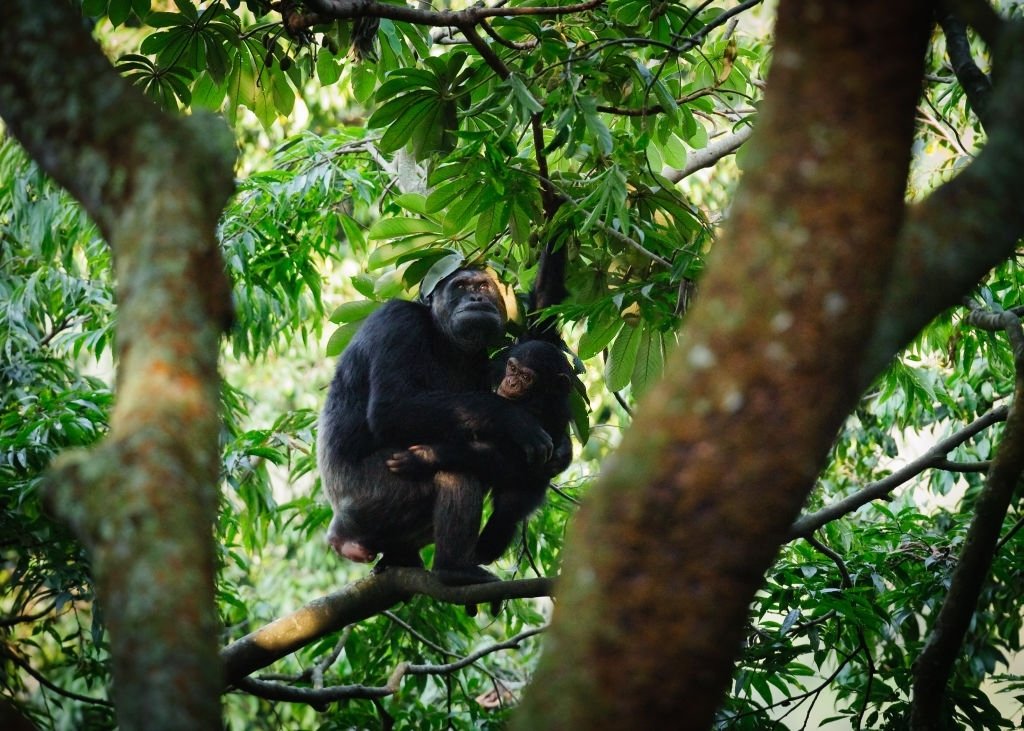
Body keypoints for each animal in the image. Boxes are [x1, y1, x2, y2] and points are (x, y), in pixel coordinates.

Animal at [317, 264, 552, 585]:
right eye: (461, 286)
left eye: (484, 286)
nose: (477, 298)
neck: (441, 336)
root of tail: (340, 529)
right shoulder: (398, 323)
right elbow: (392, 408)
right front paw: (515, 420)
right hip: (368, 497)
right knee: (458, 473)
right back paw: (454, 570)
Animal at [385, 337, 577, 561]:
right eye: (512, 368)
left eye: (526, 377)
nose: (511, 382)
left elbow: (506, 459)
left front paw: (424, 457)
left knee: (507, 511)